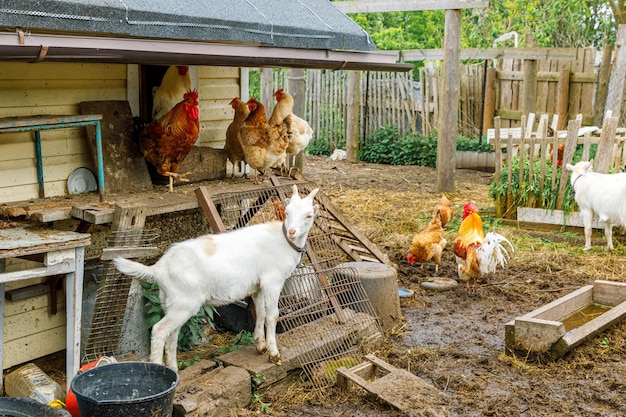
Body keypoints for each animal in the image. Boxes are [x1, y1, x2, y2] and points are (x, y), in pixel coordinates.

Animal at [111, 185, 316, 370]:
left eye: (309, 215)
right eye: (287, 212)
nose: (292, 231)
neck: (283, 241)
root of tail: (159, 268)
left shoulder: (257, 286)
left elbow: (260, 312)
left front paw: (260, 345)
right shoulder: (272, 280)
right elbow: (272, 315)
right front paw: (274, 354)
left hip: (171, 302)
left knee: (173, 334)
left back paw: (174, 369)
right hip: (184, 302)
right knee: (160, 330)